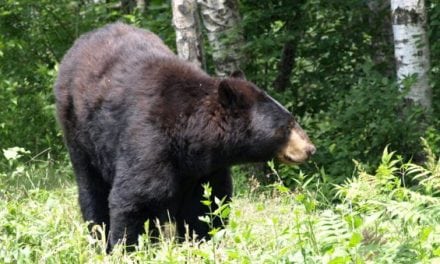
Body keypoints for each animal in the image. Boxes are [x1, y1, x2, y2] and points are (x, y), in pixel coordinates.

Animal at [54, 22, 316, 250]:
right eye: (287, 125)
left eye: (292, 119)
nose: (310, 149)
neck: (190, 138)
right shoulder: (149, 141)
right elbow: (136, 198)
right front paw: (126, 248)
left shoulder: (206, 169)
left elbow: (206, 207)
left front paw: (200, 243)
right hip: (79, 132)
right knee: (91, 188)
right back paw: (98, 236)